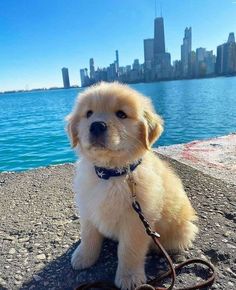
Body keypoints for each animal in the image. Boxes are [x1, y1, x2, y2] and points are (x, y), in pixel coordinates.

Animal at [67, 81, 198, 290]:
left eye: (121, 114)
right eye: (88, 113)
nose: (97, 126)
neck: (111, 174)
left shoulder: (137, 220)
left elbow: (129, 250)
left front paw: (129, 277)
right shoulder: (88, 207)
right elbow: (88, 235)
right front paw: (83, 257)